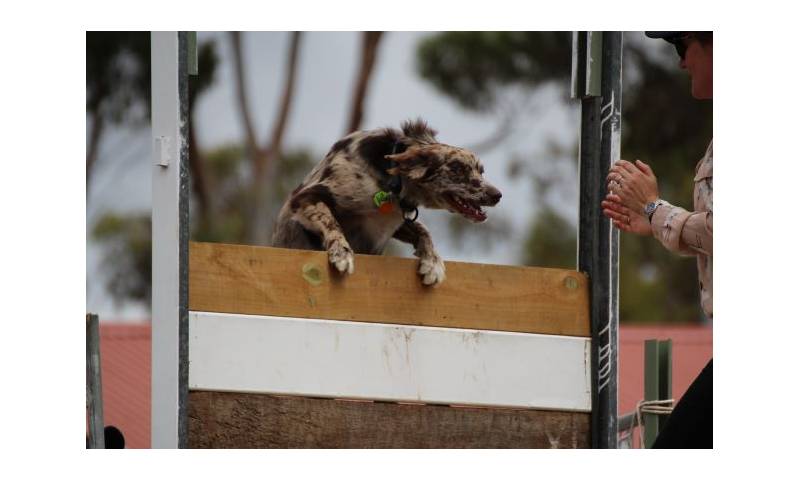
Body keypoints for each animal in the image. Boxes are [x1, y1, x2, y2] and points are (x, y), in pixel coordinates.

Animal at [274, 119, 500, 284]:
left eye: (481, 171)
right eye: (458, 168)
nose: (497, 195)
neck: (391, 180)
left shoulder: (395, 219)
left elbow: (423, 230)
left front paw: (432, 262)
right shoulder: (305, 197)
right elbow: (331, 222)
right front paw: (342, 253)